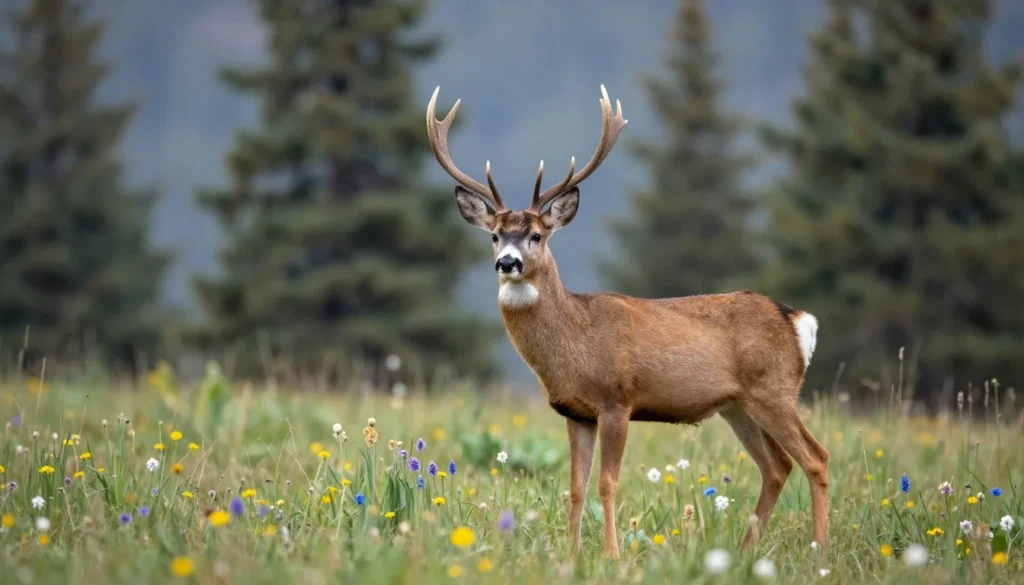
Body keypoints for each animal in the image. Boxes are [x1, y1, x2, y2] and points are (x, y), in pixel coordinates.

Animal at [426, 85, 829, 558]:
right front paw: (573, 553)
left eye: (536, 235)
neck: (576, 340)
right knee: (777, 466)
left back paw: (820, 548)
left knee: (815, 458)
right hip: (738, 404)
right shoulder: (575, 412)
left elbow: (607, 483)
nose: (508, 262)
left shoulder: (617, 399)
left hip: (775, 389)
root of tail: (799, 320)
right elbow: (576, 487)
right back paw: (746, 549)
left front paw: (612, 555)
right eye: (494, 236)